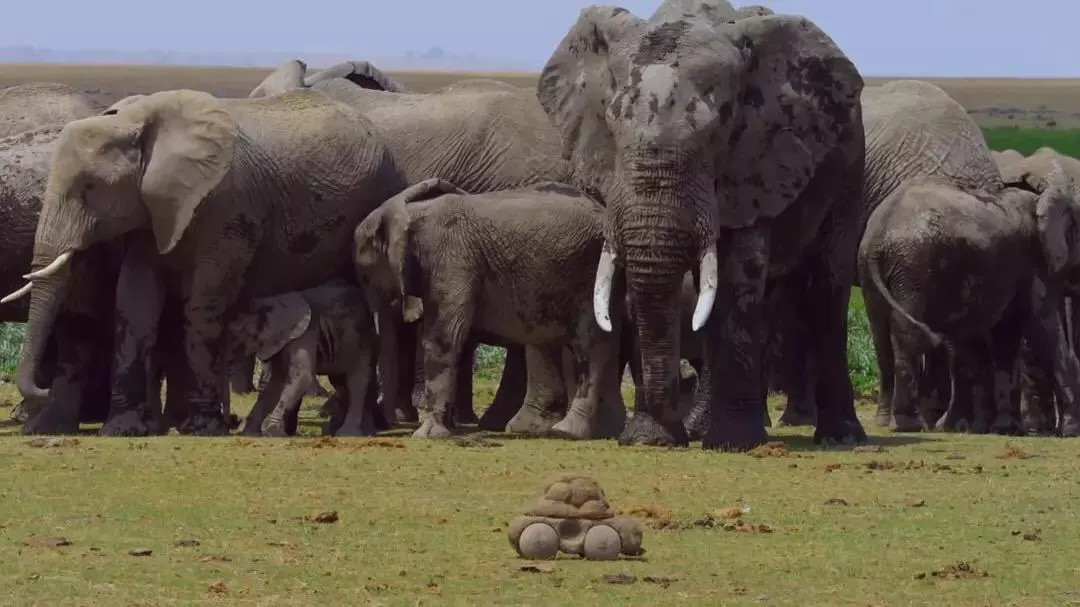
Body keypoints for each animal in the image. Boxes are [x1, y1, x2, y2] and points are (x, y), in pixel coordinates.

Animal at [219, 278, 380, 434]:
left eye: (235, 336)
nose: (233, 420)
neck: (269, 301)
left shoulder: (305, 335)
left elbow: (301, 377)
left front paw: (270, 430)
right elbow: (276, 381)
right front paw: (249, 431)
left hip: (365, 340)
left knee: (357, 380)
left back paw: (349, 433)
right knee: (340, 382)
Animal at [354, 177, 626, 436]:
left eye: (365, 277)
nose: (389, 421)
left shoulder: (451, 261)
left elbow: (443, 339)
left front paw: (428, 434)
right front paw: (450, 430)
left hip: (588, 273)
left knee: (589, 345)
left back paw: (567, 431)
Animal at [540, 1, 868, 449]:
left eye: (716, 134)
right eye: (611, 125)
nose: (669, 428)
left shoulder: (756, 160)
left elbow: (736, 276)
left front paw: (732, 442)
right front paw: (651, 439)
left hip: (849, 166)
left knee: (827, 289)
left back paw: (841, 437)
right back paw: (701, 426)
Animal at [864, 163, 1080, 434]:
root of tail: (881, 232)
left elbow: (1005, 335)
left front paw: (1002, 428)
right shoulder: (1035, 262)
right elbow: (1043, 328)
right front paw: (1071, 431)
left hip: (876, 269)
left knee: (880, 334)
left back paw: (887, 422)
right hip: (914, 265)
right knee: (907, 333)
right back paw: (908, 425)